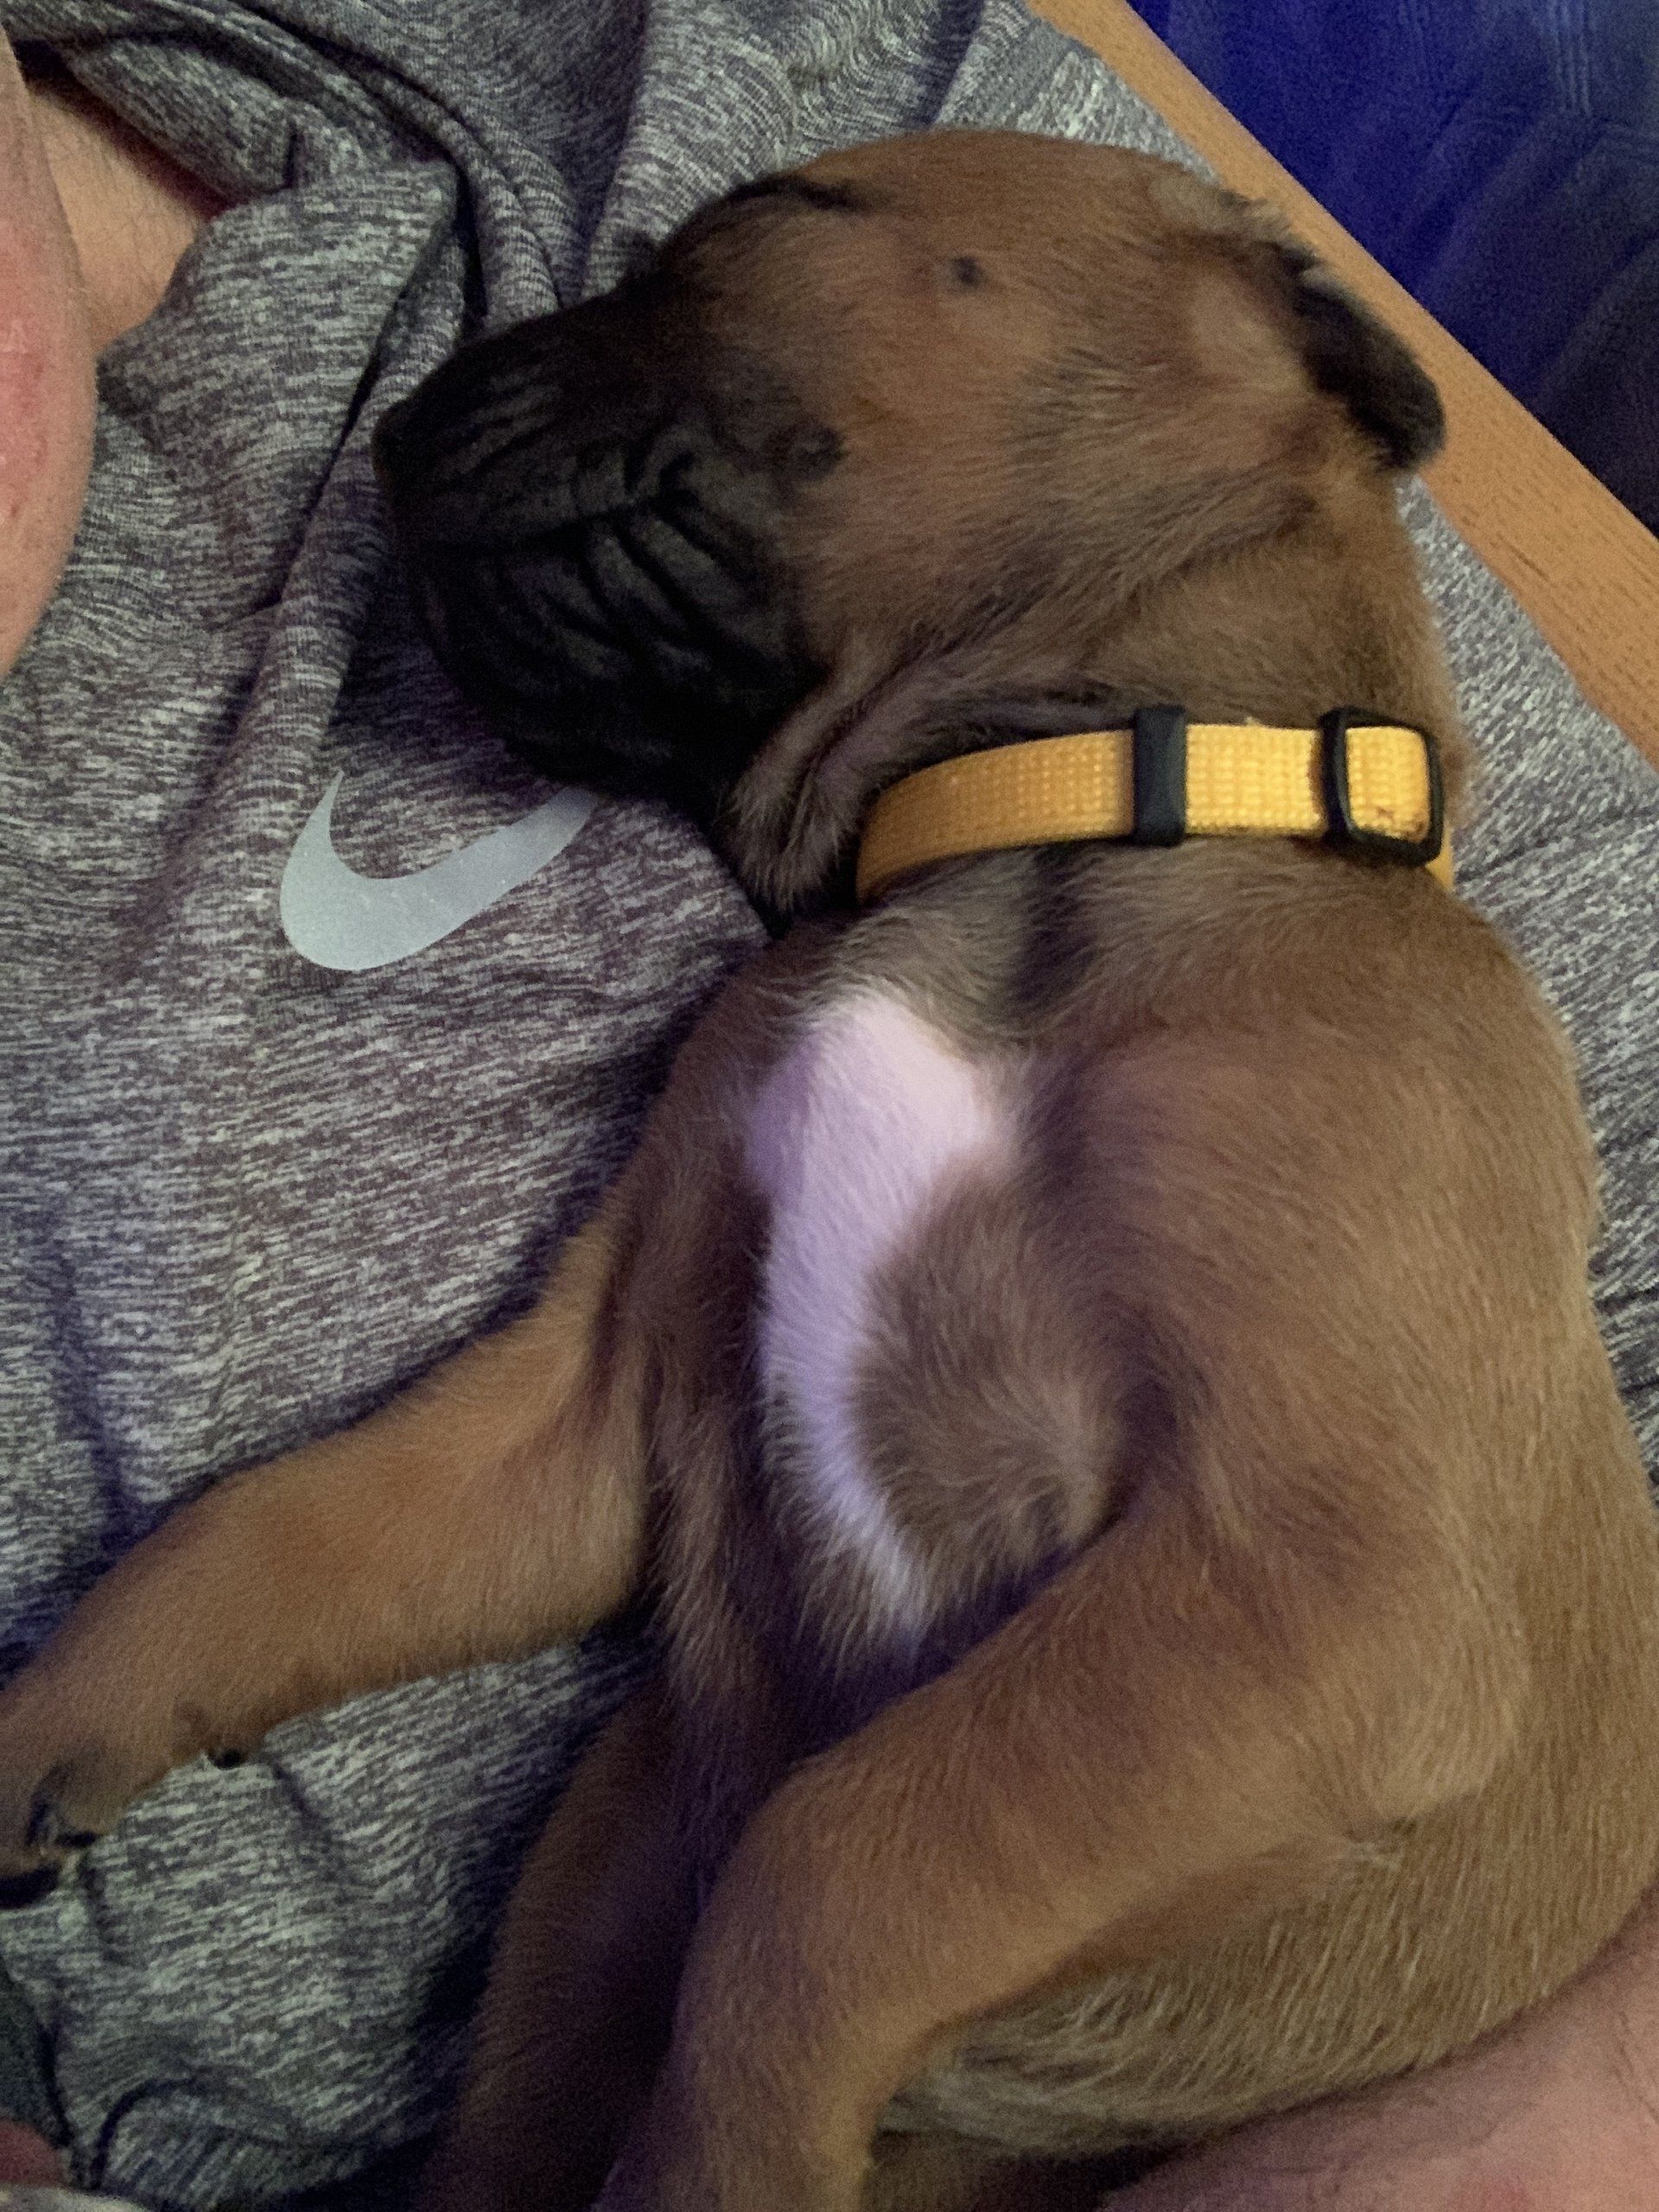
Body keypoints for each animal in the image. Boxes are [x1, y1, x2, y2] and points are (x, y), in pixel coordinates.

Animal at [1, 131, 1656, 2212]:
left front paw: (720, 2161)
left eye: (760, 223)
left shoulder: (1317, 1581)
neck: (1047, 822)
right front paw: (48, 1715)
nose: (401, 422)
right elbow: (263, 1535)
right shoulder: (592, 1410)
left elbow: (833, 1870)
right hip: (594, 1884)